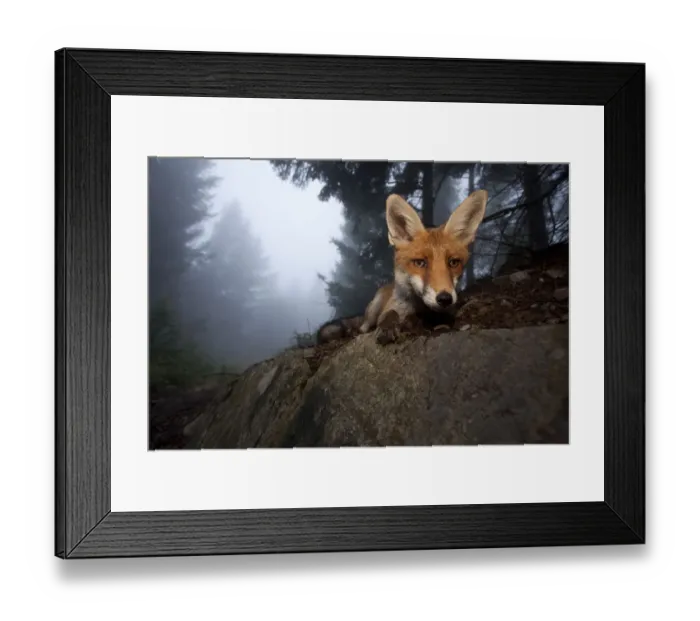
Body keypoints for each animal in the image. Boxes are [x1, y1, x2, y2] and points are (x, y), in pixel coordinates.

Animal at [316, 189, 488, 346]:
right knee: (363, 326)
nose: (445, 298)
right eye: (420, 262)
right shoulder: (391, 309)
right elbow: (390, 314)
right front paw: (388, 327)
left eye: (453, 262)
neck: (420, 308)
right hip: (374, 309)